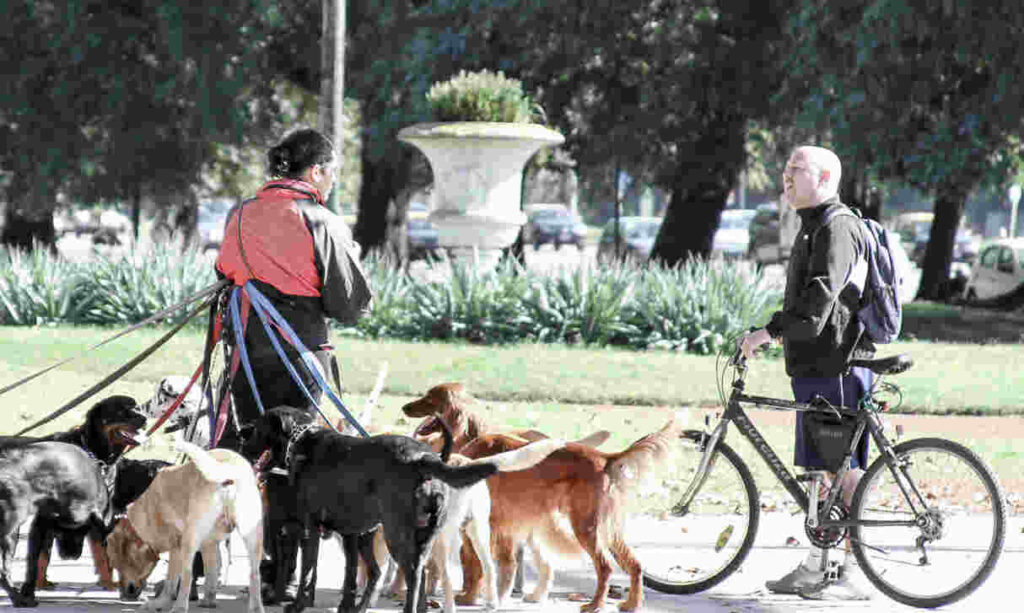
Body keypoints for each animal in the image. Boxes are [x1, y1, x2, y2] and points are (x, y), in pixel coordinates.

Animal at [0, 438, 112, 605]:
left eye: (81, 533)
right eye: (59, 534)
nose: (69, 556)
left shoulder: (41, 526)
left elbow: (34, 563)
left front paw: (29, 591)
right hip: (11, 528)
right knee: (3, 572)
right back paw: (19, 599)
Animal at [24, 395, 148, 597]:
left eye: (138, 408)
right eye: (121, 410)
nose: (145, 418)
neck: (94, 455)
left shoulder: (102, 517)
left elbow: (103, 556)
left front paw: (108, 583)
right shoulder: (44, 519)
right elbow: (40, 556)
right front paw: (37, 584)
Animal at [239, 407, 495, 613]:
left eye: (259, 425)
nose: (241, 432)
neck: (301, 440)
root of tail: (424, 458)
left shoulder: (310, 529)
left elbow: (308, 572)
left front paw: (298, 605)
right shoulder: (350, 533)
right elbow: (349, 576)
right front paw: (346, 605)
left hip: (396, 535)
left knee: (411, 574)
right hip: (422, 537)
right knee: (416, 573)